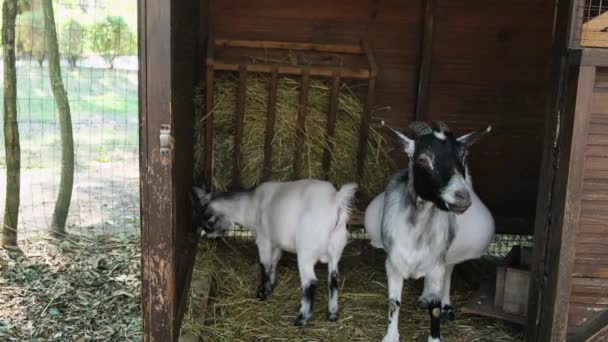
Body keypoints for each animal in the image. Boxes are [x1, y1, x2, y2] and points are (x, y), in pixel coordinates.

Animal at [191, 179, 356, 326]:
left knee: (310, 281)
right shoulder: (276, 243)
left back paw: (302, 318)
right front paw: (270, 285)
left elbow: (264, 264)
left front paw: (263, 293)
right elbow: (274, 262)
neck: (250, 205)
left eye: (208, 224)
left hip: (306, 252)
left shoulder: (264, 239)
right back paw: (332, 314)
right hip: (336, 248)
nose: (207, 237)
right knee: (333, 279)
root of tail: (335, 200)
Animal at [366, 121, 490, 340]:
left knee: (449, 271)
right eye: (423, 159)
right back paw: (423, 298)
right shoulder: (393, 264)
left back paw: (447, 305)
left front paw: (435, 336)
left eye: (463, 157)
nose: (463, 196)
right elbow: (393, 303)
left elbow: (436, 308)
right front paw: (391, 336)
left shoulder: (437, 264)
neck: (416, 233)